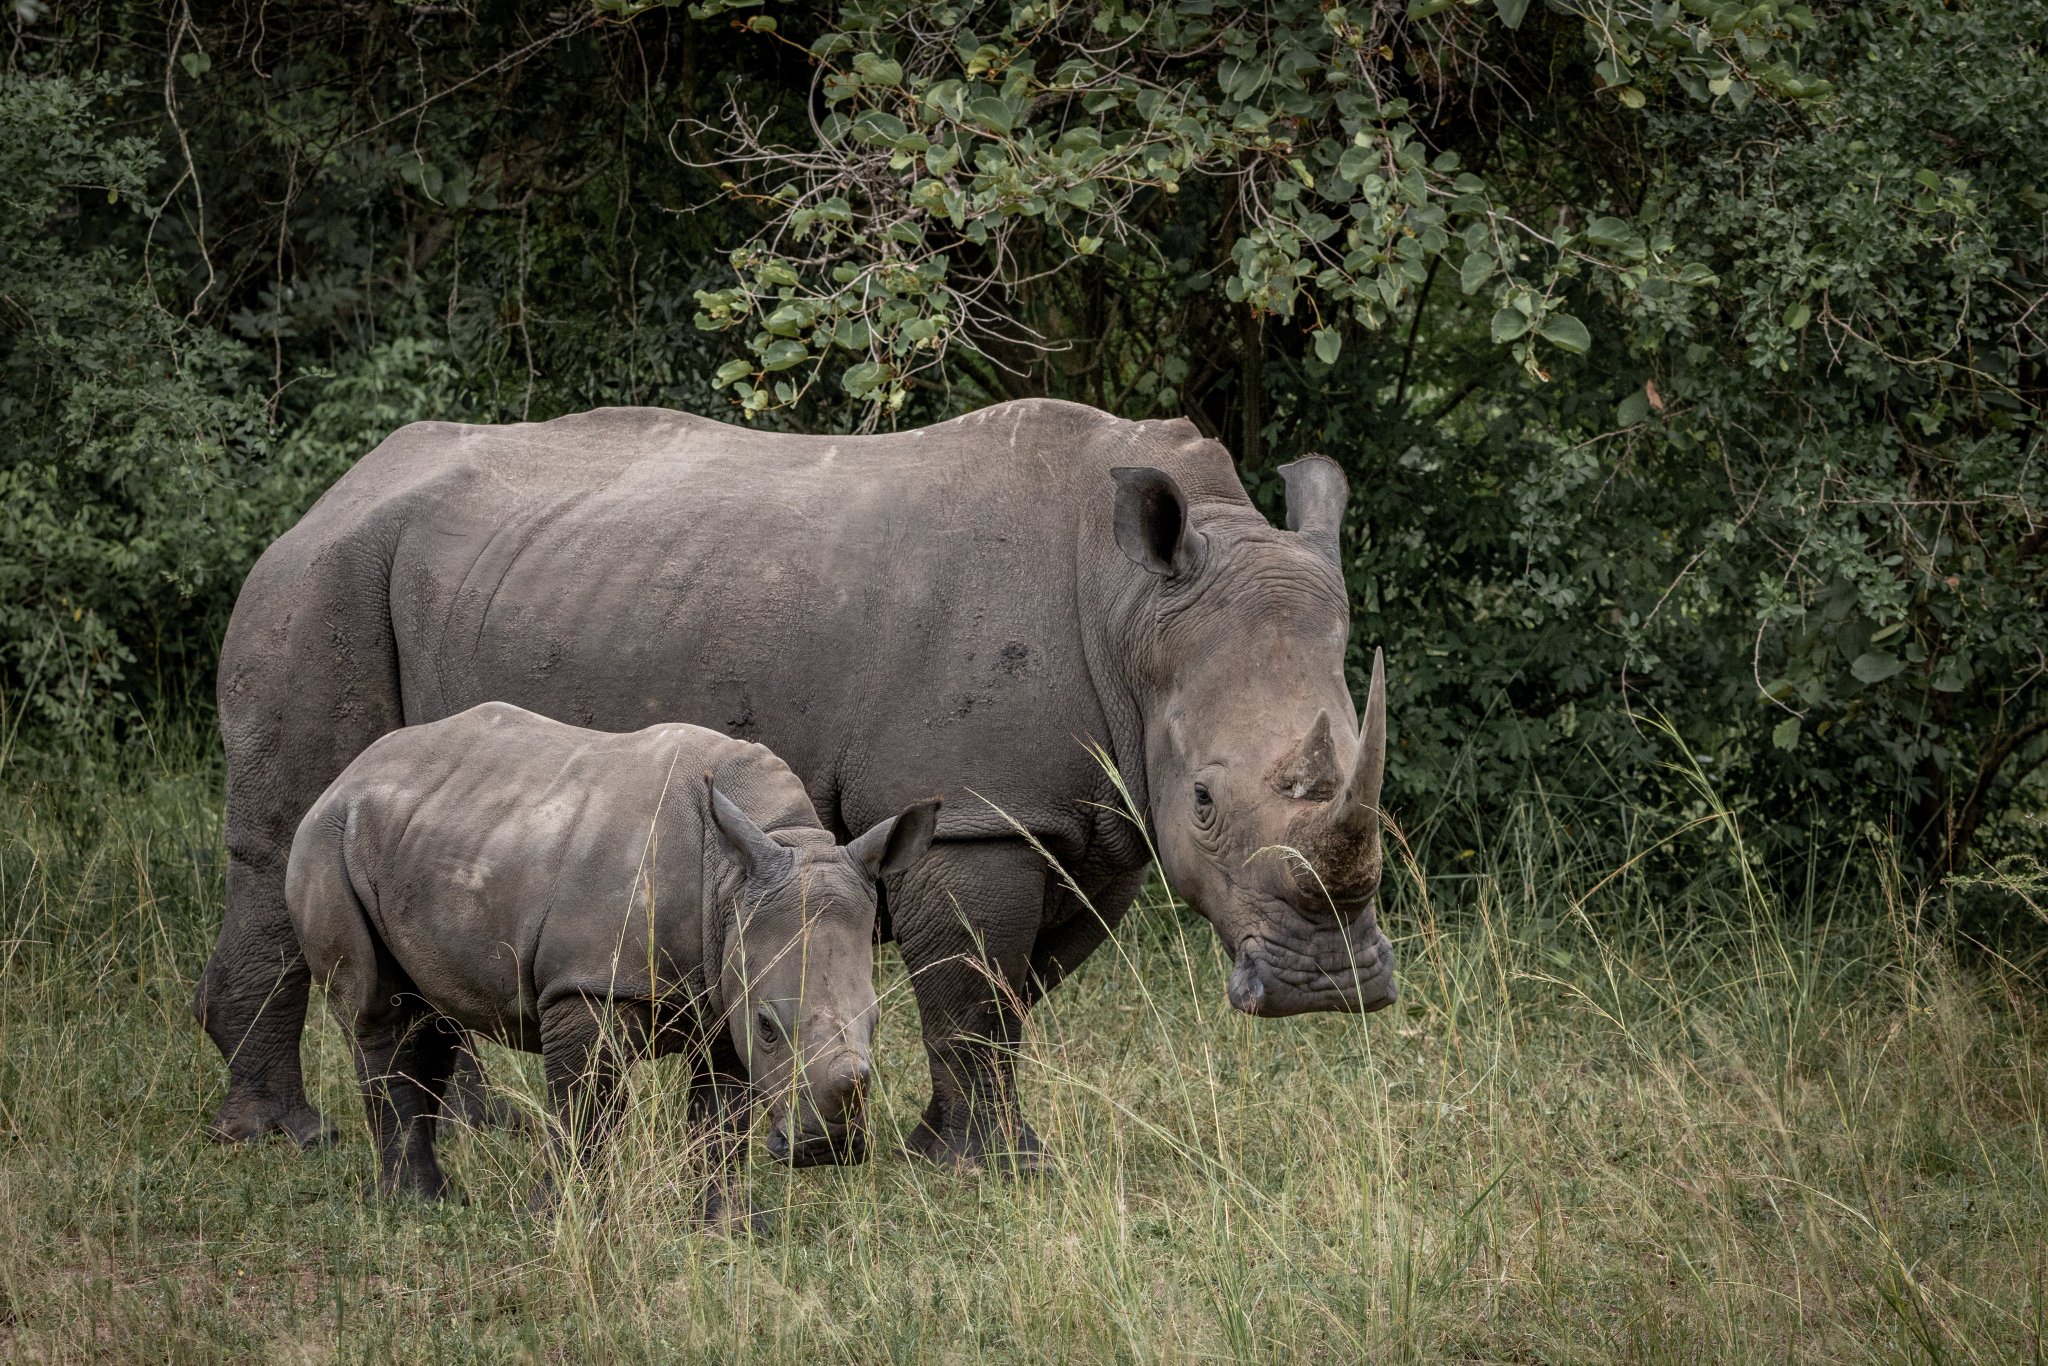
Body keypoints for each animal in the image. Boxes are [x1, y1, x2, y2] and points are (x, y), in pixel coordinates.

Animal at [286, 701, 939, 1214]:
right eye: (769, 1027)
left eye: (877, 1022)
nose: (827, 1150)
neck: (737, 872)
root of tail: (349, 772)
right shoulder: (589, 985)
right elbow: (585, 1109)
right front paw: (553, 1218)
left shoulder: (726, 985)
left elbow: (721, 1122)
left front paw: (728, 1229)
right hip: (326, 838)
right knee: (378, 1011)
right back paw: (419, 1204)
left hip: (427, 833)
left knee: (430, 1010)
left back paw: (436, 1197)